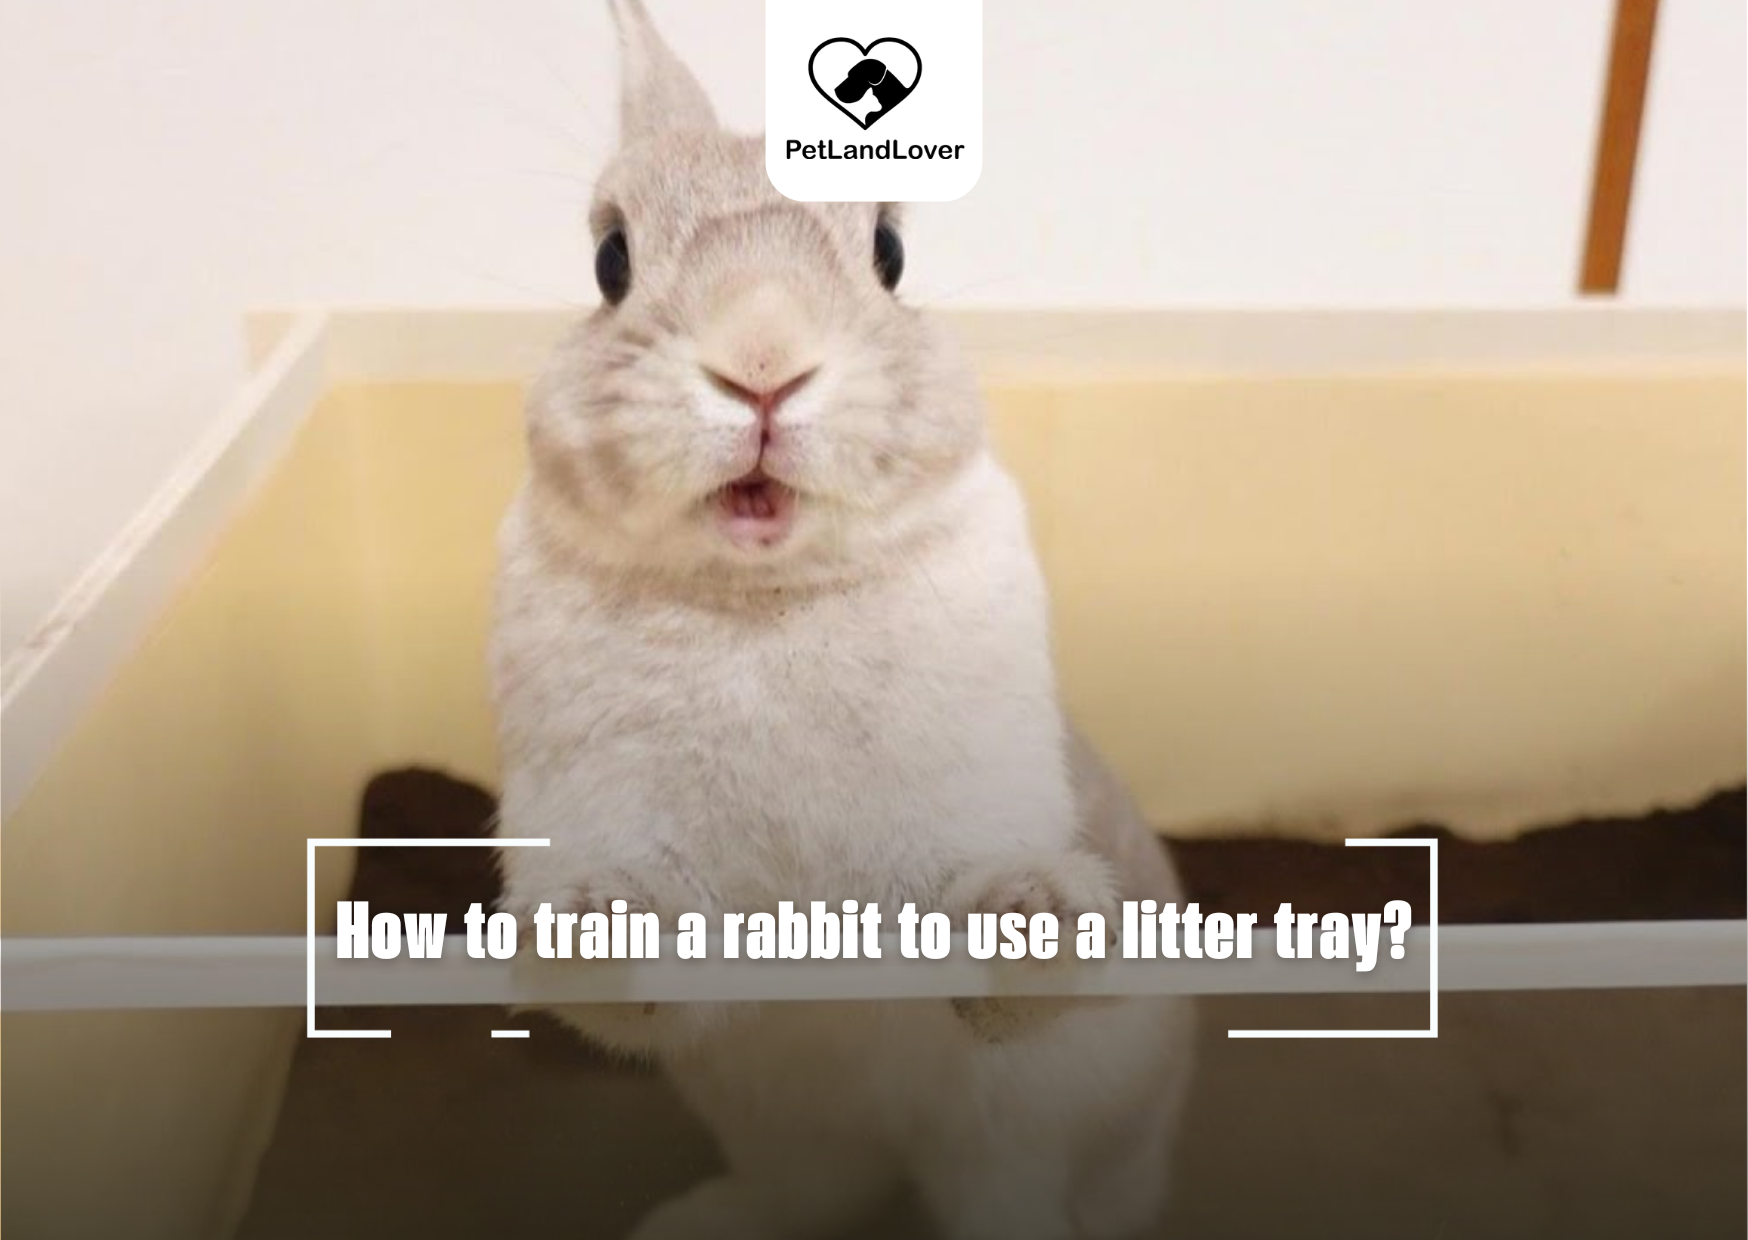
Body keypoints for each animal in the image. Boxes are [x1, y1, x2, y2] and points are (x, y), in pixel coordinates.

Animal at [488, 3, 1196, 1237]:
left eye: (890, 254)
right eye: (610, 260)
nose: (761, 359)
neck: (766, 597)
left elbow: (1006, 963)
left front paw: (1033, 909)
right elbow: (630, 975)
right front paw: (586, 916)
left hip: (1021, 1144)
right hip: (781, 1125)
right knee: (807, 1188)